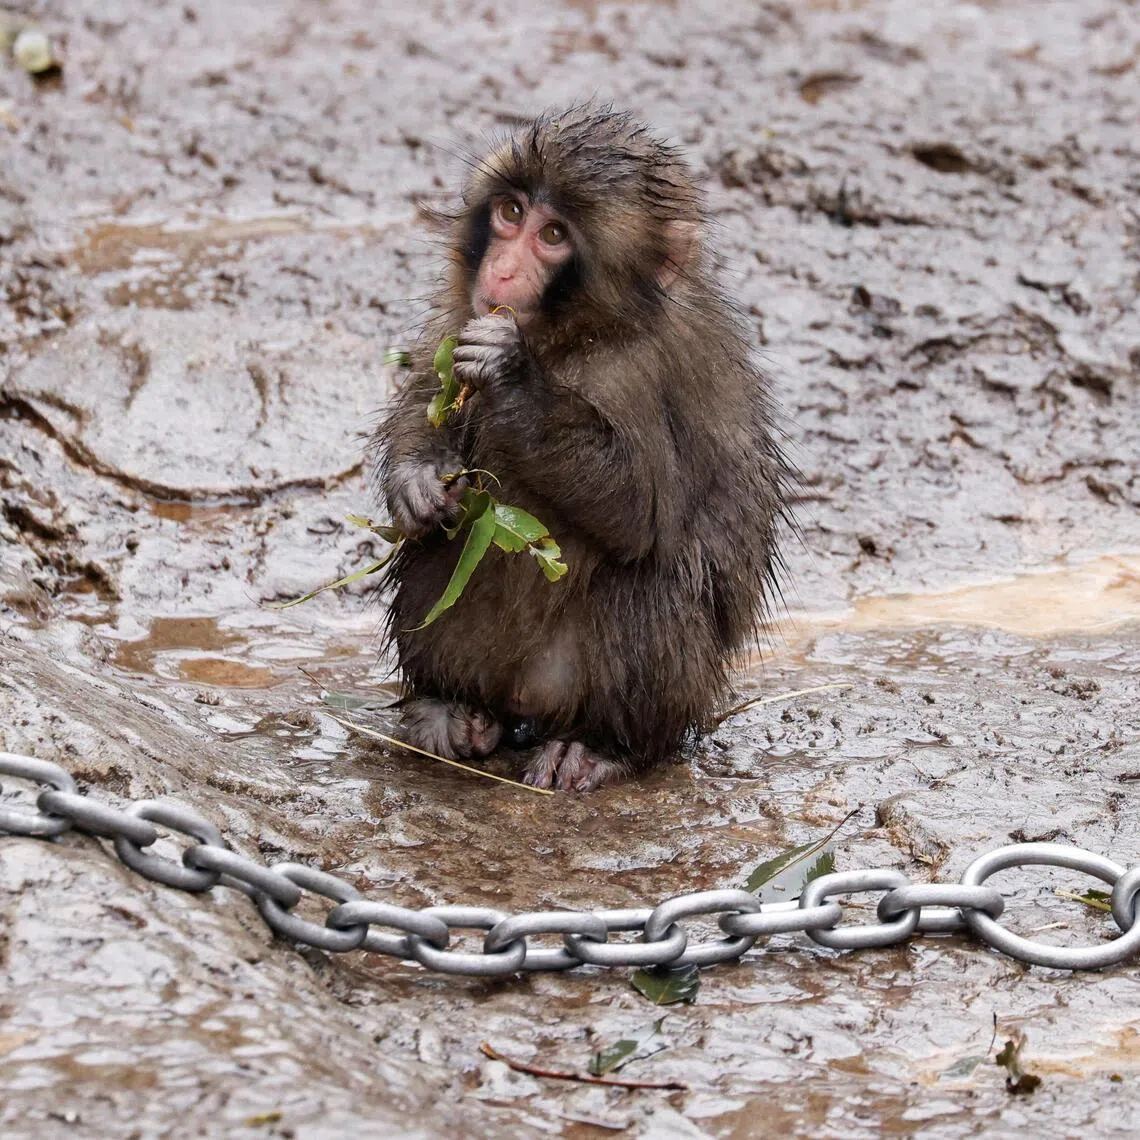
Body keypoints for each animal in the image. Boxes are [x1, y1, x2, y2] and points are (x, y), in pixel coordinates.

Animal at [372, 104, 789, 792]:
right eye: (511, 212)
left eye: (553, 235)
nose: (502, 272)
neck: (573, 337)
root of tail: (526, 705)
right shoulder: (463, 312)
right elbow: (430, 395)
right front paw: (416, 482)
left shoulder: (640, 373)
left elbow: (640, 511)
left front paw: (513, 380)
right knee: (446, 544)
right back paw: (450, 707)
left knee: (648, 588)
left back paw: (602, 745)